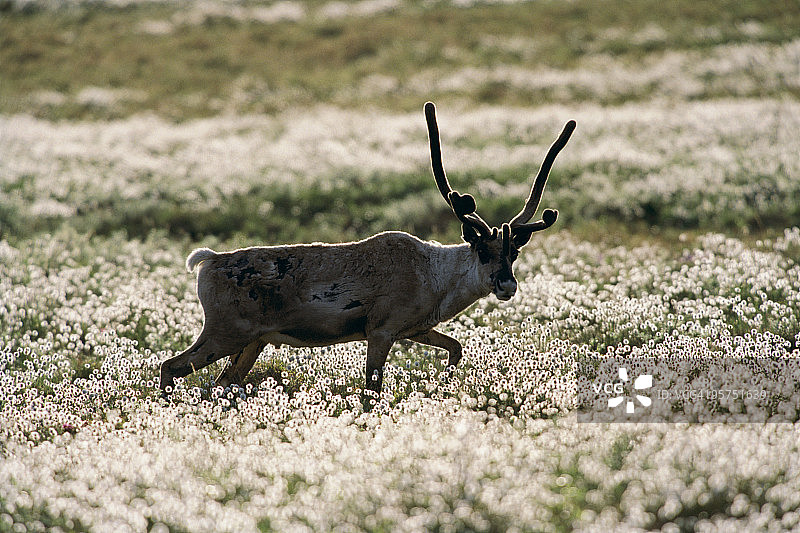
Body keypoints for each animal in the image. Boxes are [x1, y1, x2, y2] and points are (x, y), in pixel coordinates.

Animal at [160, 102, 575, 400]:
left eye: (514, 253)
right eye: (483, 251)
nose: (506, 285)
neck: (434, 275)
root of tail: (208, 262)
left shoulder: (416, 328)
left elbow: (456, 348)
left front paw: (444, 380)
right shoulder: (381, 330)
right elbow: (371, 389)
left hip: (252, 342)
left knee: (220, 383)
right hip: (224, 333)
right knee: (170, 366)